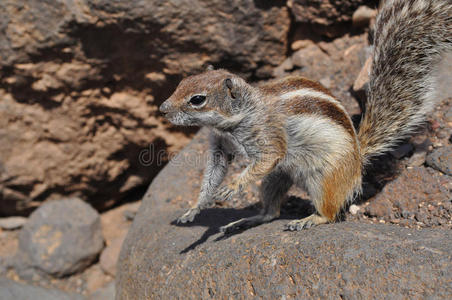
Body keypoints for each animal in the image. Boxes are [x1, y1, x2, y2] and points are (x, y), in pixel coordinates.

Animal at [159, 0, 452, 233]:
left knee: (330, 213)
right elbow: (213, 173)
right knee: (271, 211)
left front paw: (234, 185)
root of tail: (359, 158)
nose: (162, 109)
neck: (241, 115)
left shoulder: (268, 135)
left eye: (197, 99)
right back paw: (246, 220)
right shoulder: (221, 145)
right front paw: (194, 209)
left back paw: (308, 220)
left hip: (323, 179)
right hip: (276, 178)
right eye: (182, 82)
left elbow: (268, 156)